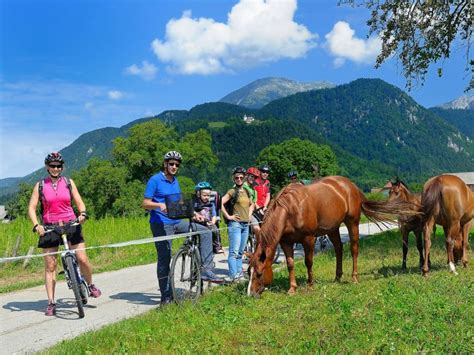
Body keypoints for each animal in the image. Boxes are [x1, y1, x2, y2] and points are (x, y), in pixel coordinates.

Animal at [248, 176, 418, 298]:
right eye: (249, 271)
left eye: (259, 273)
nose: (251, 294)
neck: (291, 208)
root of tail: (351, 186)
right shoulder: (285, 242)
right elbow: (290, 264)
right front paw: (292, 288)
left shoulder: (309, 239)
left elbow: (308, 262)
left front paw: (310, 284)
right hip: (333, 229)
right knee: (338, 248)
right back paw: (337, 277)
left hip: (352, 222)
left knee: (354, 249)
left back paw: (354, 277)